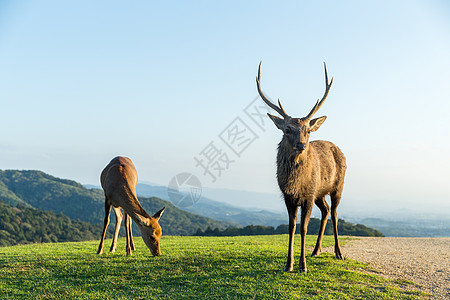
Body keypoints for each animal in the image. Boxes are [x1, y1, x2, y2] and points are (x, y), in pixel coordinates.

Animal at [255, 62, 346, 274]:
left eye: (308, 130)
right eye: (287, 129)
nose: (302, 145)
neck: (296, 184)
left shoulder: (308, 195)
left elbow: (304, 228)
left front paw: (302, 266)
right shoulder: (288, 196)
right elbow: (291, 227)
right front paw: (288, 264)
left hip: (338, 186)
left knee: (335, 213)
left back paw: (338, 252)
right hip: (320, 193)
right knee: (326, 210)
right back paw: (316, 250)